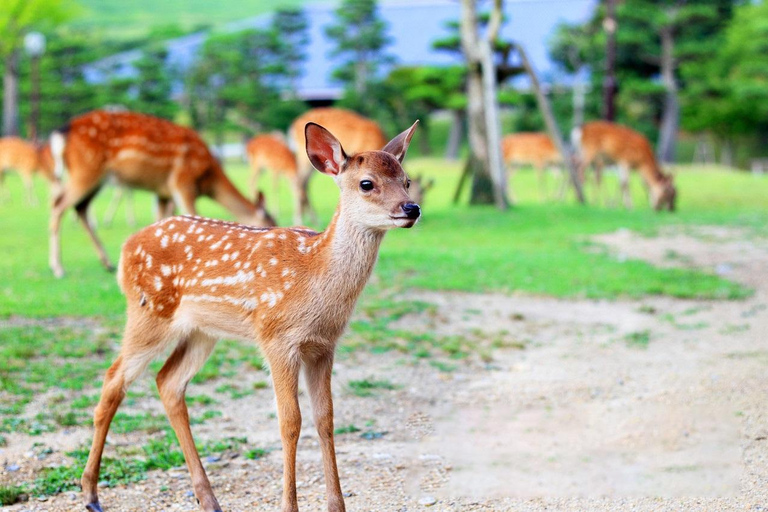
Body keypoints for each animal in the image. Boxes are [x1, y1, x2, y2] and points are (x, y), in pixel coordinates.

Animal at [49, 110, 276, 278]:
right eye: (270, 223)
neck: (208, 178)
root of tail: (62, 132)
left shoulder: (163, 192)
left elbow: (162, 221)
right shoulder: (182, 182)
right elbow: (193, 216)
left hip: (95, 177)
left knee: (80, 207)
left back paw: (107, 263)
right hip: (87, 169)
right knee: (58, 205)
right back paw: (58, 268)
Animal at [79, 119, 420, 512]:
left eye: (406, 180)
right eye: (367, 183)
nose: (412, 208)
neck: (314, 275)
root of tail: (125, 250)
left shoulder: (323, 345)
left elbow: (326, 418)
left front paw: (337, 507)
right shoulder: (276, 337)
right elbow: (290, 422)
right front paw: (289, 506)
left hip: (202, 331)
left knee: (168, 382)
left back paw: (208, 498)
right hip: (148, 312)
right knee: (113, 380)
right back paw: (90, 494)